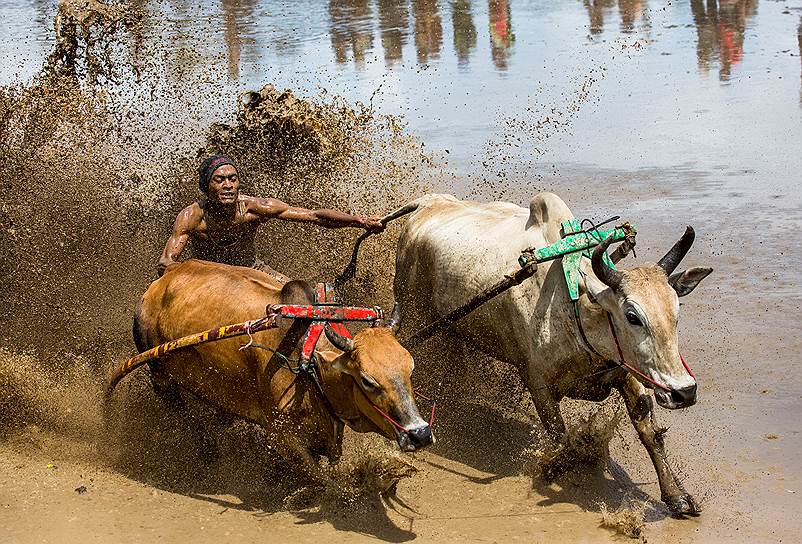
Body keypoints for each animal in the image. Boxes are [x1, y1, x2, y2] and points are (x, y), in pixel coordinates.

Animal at [130, 260, 432, 480]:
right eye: (368, 380)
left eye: (410, 369)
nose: (420, 433)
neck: (308, 365)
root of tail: (167, 274)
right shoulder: (280, 434)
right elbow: (324, 481)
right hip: (159, 374)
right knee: (180, 408)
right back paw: (208, 449)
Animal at [390, 192, 708, 516]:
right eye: (632, 316)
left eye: (676, 310)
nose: (684, 392)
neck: (575, 306)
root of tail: (428, 203)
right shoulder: (537, 383)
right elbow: (561, 440)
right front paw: (554, 470)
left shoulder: (626, 372)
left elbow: (650, 434)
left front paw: (677, 496)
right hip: (410, 306)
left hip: (453, 327)